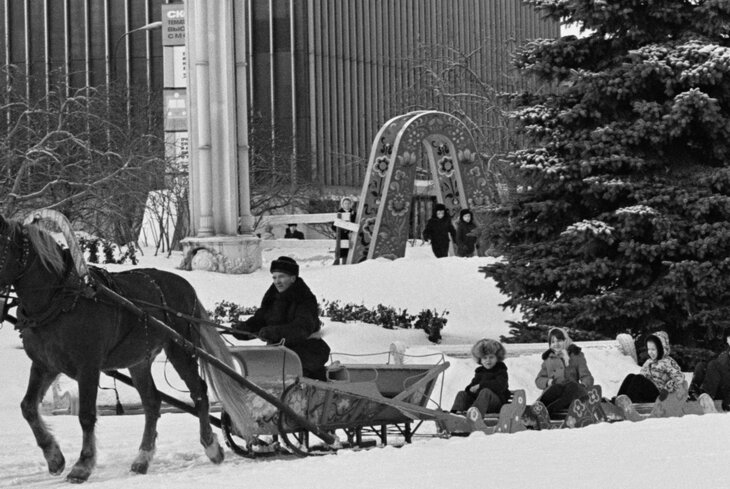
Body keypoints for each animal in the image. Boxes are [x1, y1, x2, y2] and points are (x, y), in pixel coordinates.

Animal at [0, 215, 228, 482]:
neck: (61, 298)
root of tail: (185, 285)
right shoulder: (44, 365)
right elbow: (28, 407)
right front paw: (54, 457)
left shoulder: (88, 366)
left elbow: (86, 414)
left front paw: (83, 464)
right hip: (139, 361)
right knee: (152, 402)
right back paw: (142, 458)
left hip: (180, 349)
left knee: (199, 392)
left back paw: (211, 445)